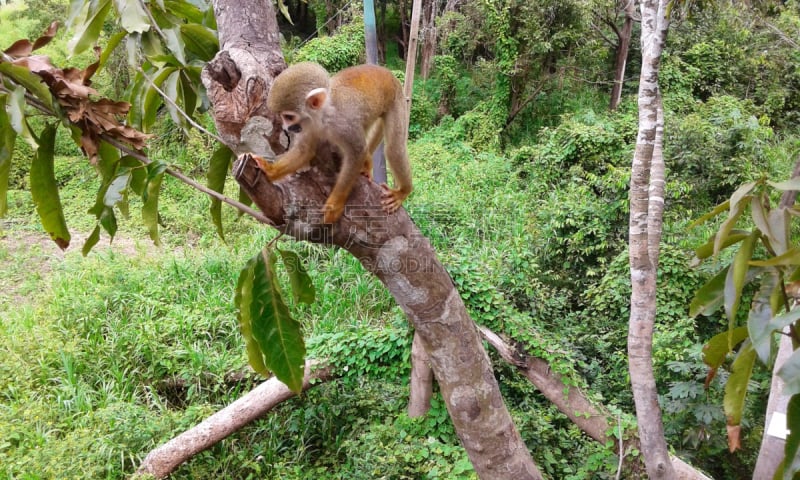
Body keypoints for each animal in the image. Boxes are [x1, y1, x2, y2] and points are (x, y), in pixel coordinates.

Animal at [253, 61, 412, 223]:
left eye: (289, 117)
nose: (286, 128)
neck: (323, 116)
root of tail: (386, 72)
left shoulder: (344, 124)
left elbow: (357, 152)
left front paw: (335, 205)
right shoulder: (308, 126)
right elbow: (304, 150)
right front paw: (269, 170)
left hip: (396, 99)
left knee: (394, 149)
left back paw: (403, 191)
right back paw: (367, 163)